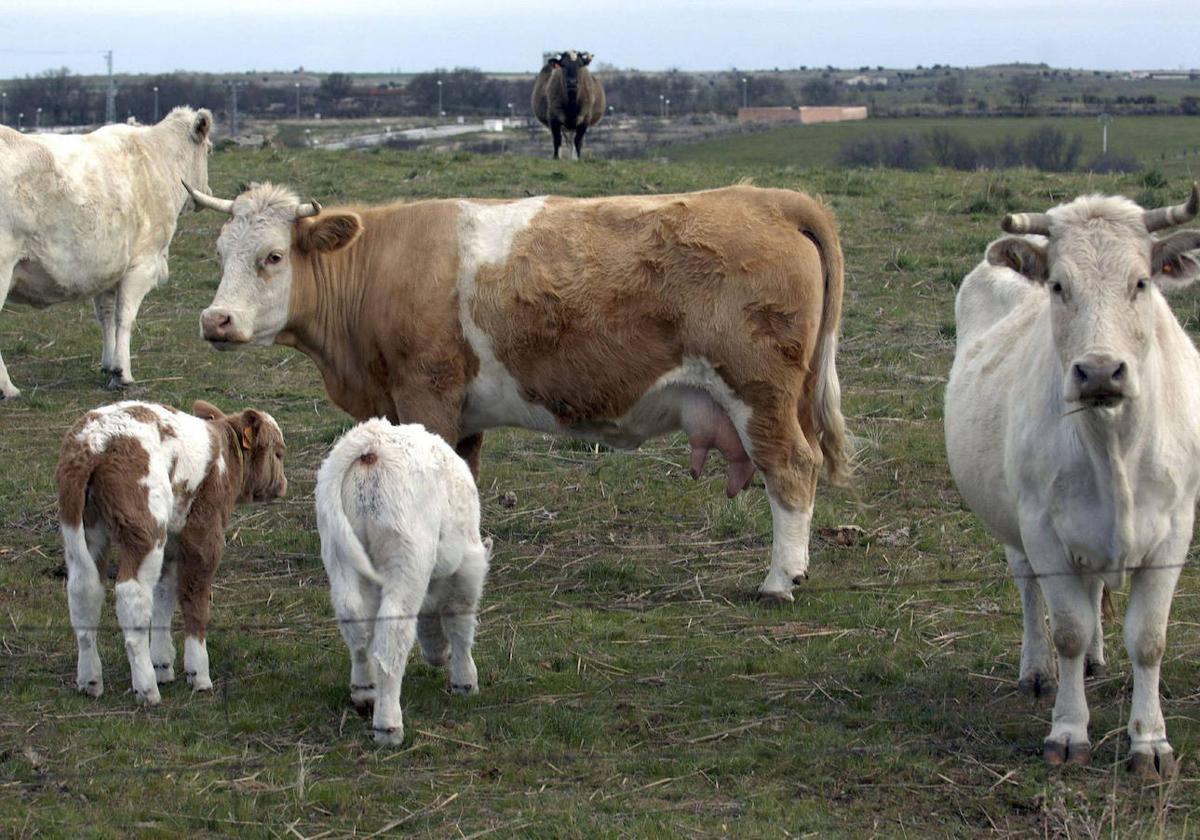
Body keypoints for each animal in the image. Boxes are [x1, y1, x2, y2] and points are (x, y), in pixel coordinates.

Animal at [0, 106, 213, 396]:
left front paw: (108, 364)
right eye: (210, 150)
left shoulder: (108, 269)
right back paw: (8, 388)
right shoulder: (142, 264)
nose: (208, 191)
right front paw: (122, 373)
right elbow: (125, 317)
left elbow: (107, 316)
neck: (157, 164)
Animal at [57, 400, 288, 700]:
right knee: (131, 594)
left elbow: (164, 593)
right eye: (279, 453)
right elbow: (194, 597)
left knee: (84, 591)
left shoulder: (173, 539)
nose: (283, 485)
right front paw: (198, 672)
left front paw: (163, 663)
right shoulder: (204, 532)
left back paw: (90, 680)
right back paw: (146, 688)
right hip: (145, 527)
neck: (225, 460)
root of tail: (94, 442)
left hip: (86, 527)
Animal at [316, 422, 494, 744]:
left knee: (355, 622)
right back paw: (388, 725)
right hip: (407, 557)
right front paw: (465, 681)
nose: (438, 657)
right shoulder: (468, 570)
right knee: (392, 634)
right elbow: (460, 622)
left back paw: (365, 692)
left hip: (339, 552)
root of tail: (372, 443)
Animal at [945, 187, 1200, 777]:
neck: (1114, 444)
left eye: (1141, 282)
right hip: (1015, 524)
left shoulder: (1175, 531)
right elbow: (1068, 628)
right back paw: (1039, 671)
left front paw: (1150, 742)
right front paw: (1068, 731)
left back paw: (1096, 660)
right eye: (1060, 285)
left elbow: (1148, 639)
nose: (1101, 371)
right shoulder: (1043, 529)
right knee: (1030, 590)